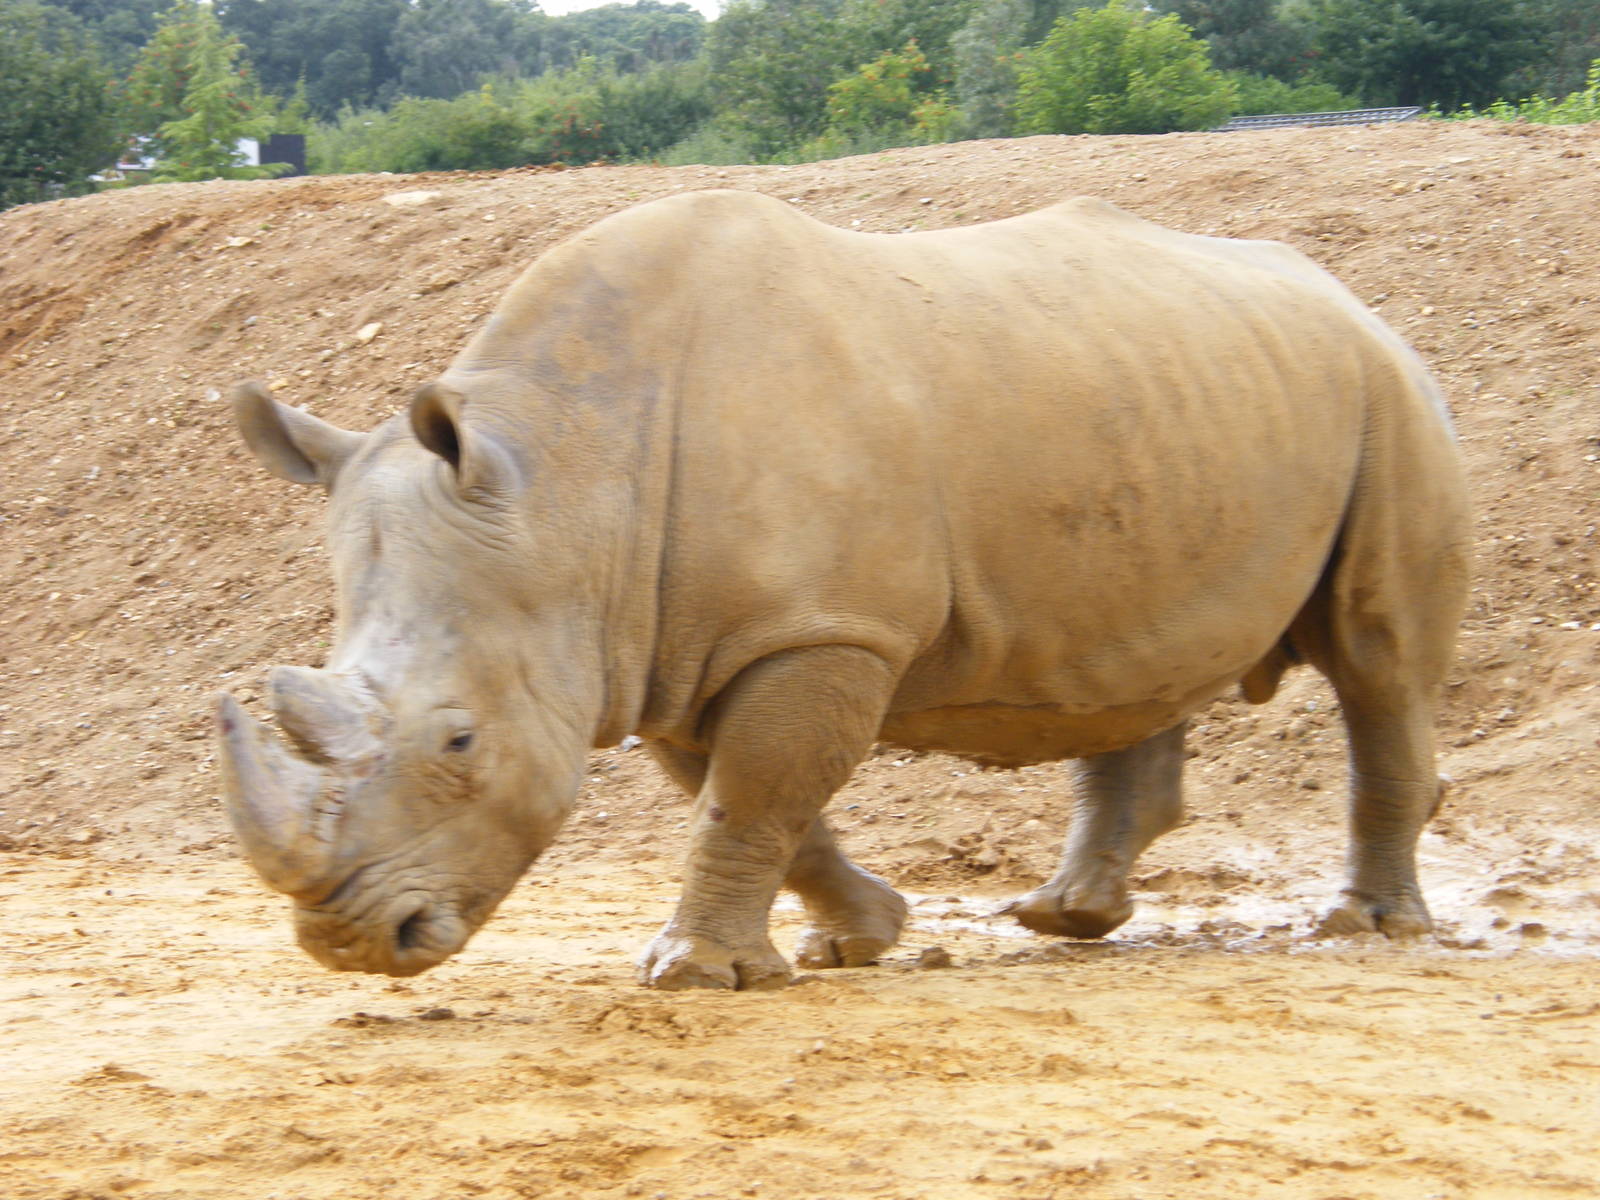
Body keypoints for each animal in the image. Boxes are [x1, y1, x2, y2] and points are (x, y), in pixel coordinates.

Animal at [216, 190, 1469, 989]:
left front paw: (694, 975)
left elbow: (756, 791)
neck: (567, 478)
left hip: (1388, 392)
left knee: (1377, 658)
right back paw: (1068, 918)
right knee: (1126, 655)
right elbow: (757, 797)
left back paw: (1367, 929)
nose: (351, 945)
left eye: (460, 743)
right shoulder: (683, 642)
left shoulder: (814, 630)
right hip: (1175, 399)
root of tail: (1347, 294)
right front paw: (858, 939)